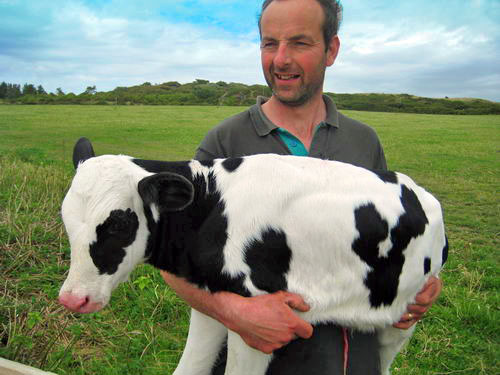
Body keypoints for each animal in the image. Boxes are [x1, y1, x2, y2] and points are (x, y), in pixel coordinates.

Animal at [59, 139, 450, 375]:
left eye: (119, 224)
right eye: (66, 220)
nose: (72, 299)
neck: (212, 206)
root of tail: (422, 193)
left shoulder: (262, 319)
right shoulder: (215, 300)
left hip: (402, 317)